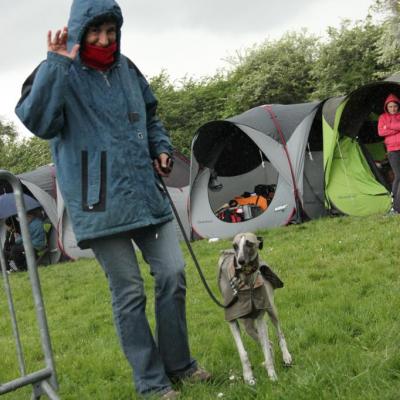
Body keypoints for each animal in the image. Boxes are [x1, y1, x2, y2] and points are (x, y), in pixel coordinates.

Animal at [217, 233, 292, 382]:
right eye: (235, 245)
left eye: (249, 243)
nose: (240, 261)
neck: (246, 281)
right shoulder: (232, 321)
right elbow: (243, 352)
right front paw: (248, 377)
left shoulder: (260, 318)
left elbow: (266, 350)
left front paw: (272, 376)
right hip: (248, 327)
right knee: (269, 343)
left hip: (271, 310)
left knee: (279, 335)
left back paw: (286, 357)